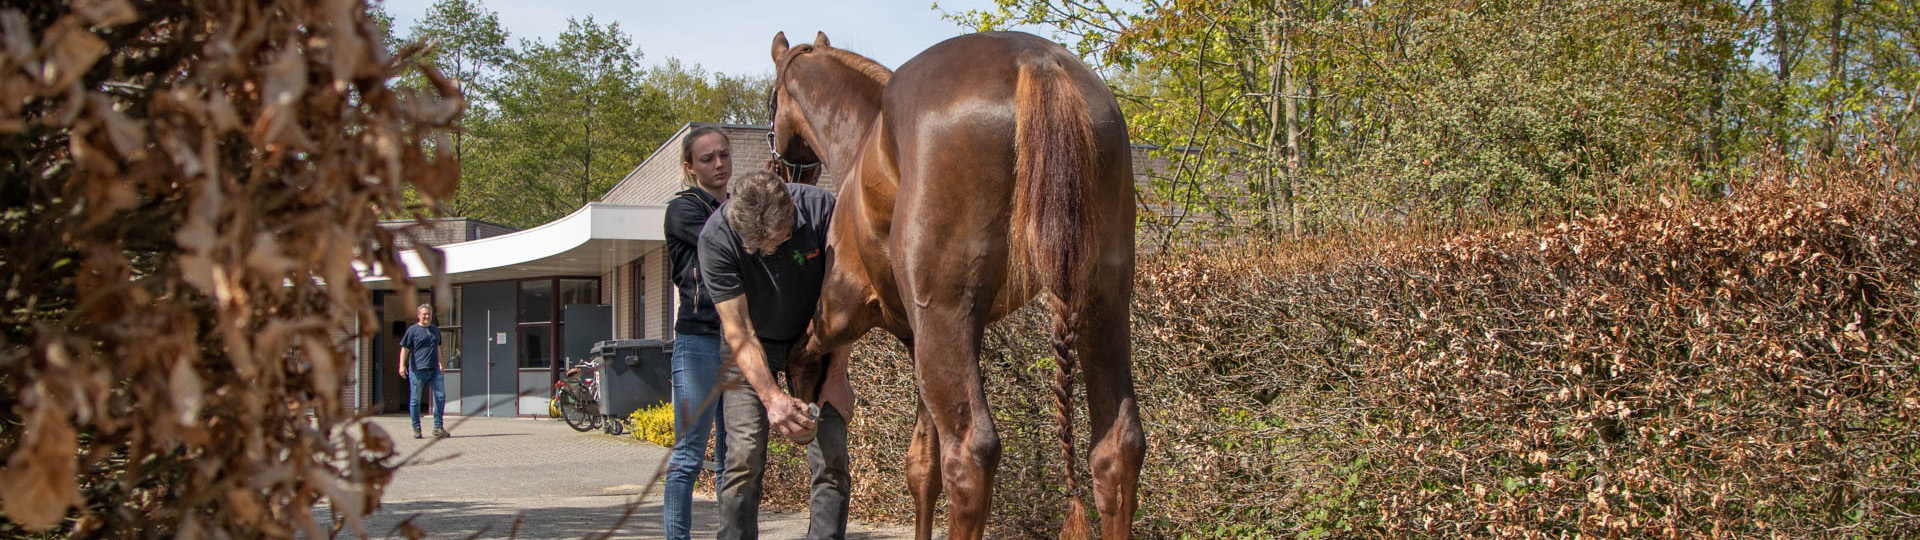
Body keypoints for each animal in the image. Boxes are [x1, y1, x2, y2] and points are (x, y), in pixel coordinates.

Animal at [771, 31, 1144, 534]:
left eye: (771, 100)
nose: (783, 172)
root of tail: (1036, 61)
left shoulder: (843, 310)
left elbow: (803, 351)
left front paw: (801, 405)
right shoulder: (918, 340)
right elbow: (921, 466)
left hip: (943, 321)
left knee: (969, 456)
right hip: (1103, 304)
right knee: (1116, 448)